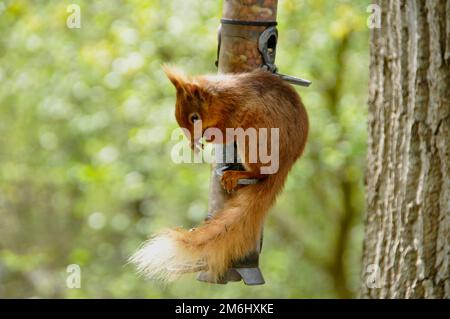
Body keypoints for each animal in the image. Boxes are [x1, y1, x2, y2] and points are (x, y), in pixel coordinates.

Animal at [128, 67, 308, 282]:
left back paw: (235, 175)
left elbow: (221, 134)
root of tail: (285, 165)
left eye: (195, 118)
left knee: (259, 172)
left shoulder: (233, 114)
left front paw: (202, 141)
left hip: (255, 137)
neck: (220, 97)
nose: (193, 140)